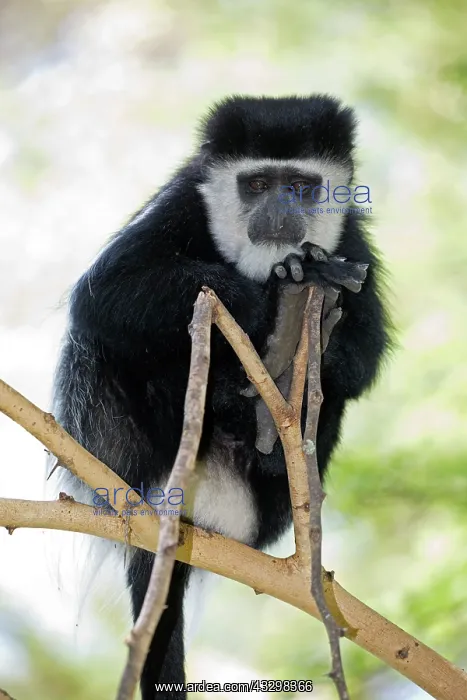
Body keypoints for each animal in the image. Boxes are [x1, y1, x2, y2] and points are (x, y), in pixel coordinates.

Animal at [49, 94, 390, 699]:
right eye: (256, 184)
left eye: (299, 186)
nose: (278, 211)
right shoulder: (183, 202)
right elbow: (104, 293)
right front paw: (266, 293)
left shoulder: (350, 246)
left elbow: (363, 357)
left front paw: (308, 305)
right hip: (116, 445)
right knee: (110, 342)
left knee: (326, 399)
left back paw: (274, 422)